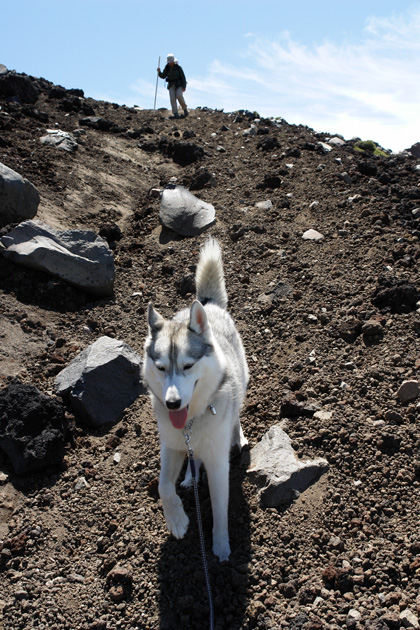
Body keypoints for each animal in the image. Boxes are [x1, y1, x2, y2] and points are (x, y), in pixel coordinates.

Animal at [143, 238, 248, 564]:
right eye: (161, 367)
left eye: (188, 366)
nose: (172, 404)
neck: (190, 422)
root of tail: (209, 305)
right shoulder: (171, 445)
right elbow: (163, 486)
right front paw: (176, 520)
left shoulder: (218, 465)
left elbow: (220, 511)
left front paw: (221, 546)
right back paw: (190, 476)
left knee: (236, 414)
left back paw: (237, 437)